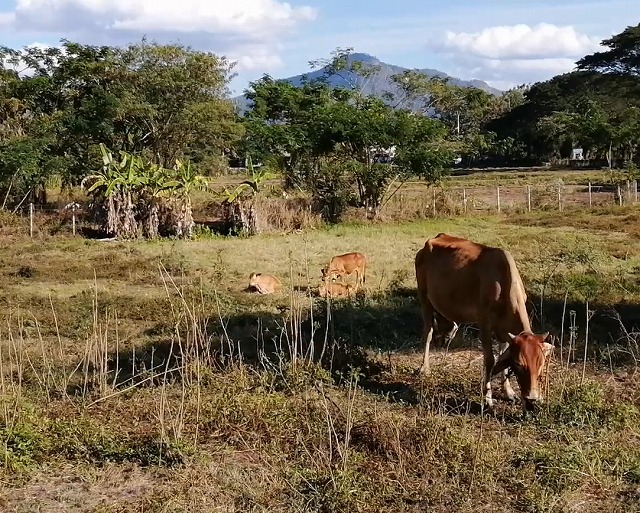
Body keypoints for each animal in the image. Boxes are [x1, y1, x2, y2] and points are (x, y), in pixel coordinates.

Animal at [416, 234, 556, 410]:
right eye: (518, 364)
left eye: (541, 363)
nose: (532, 398)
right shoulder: (484, 322)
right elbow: (490, 360)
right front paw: (488, 398)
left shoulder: (504, 331)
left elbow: (503, 355)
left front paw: (509, 392)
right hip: (424, 297)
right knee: (428, 332)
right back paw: (424, 368)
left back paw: (447, 335)